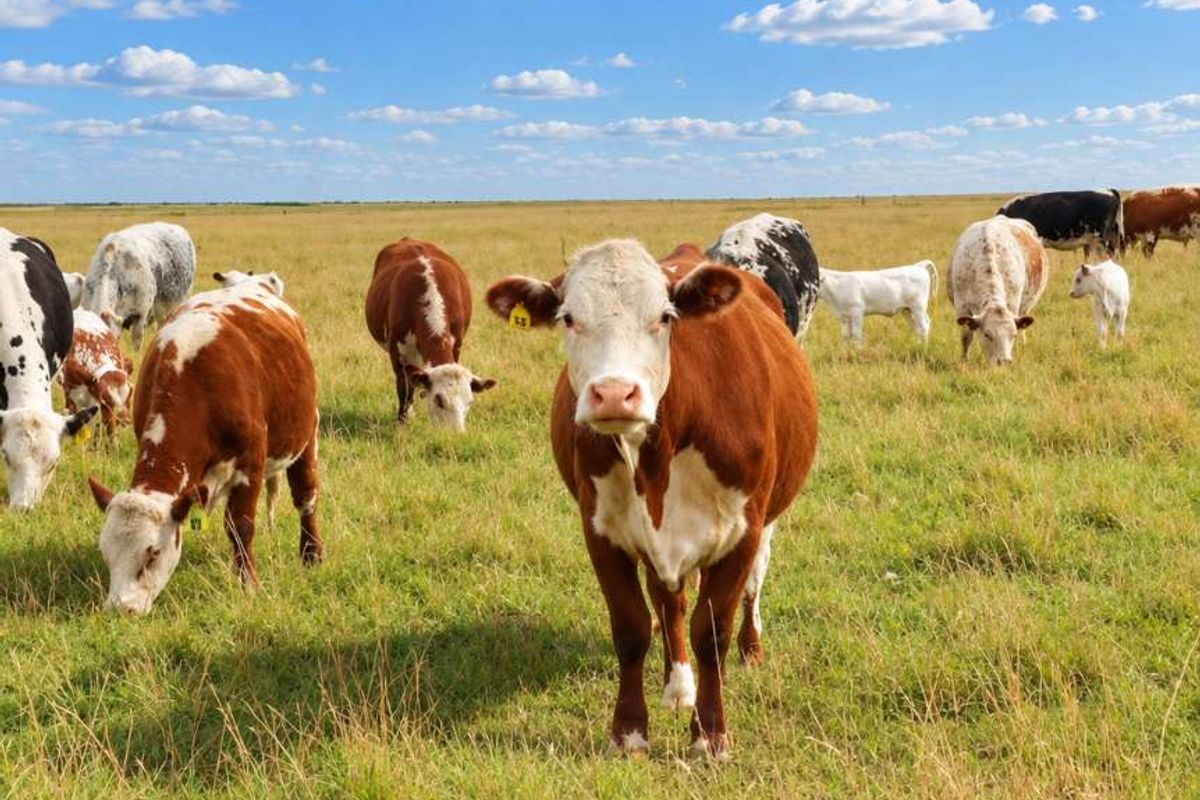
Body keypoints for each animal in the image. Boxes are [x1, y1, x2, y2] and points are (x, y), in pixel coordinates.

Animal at [86, 279, 322, 614]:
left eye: (152, 554)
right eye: (106, 553)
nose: (121, 608)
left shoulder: (251, 463)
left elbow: (240, 526)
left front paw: (248, 584)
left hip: (307, 433)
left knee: (306, 497)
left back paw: (311, 554)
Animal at [364, 238, 495, 431]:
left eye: (469, 402)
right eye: (439, 400)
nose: (456, 435)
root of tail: (408, 239)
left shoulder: (457, 344)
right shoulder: (397, 352)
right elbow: (404, 389)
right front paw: (403, 423)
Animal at [485, 239, 818, 760]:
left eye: (665, 316)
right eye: (567, 317)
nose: (614, 394)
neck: (658, 456)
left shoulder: (742, 531)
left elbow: (712, 632)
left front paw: (710, 736)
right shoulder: (602, 532)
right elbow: (633, 627)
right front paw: (629, 731)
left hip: (766, 521)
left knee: (752, 587)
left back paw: (750, 651)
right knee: (669, 600)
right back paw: (676, 684)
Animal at [949, 216, 1048, 365]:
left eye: (1013, 335)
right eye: (987, 334)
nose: (1004, 361)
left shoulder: (1013, 305)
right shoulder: (962, 306)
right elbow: (966, 337)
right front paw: (964, 361)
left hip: (1026, 308)